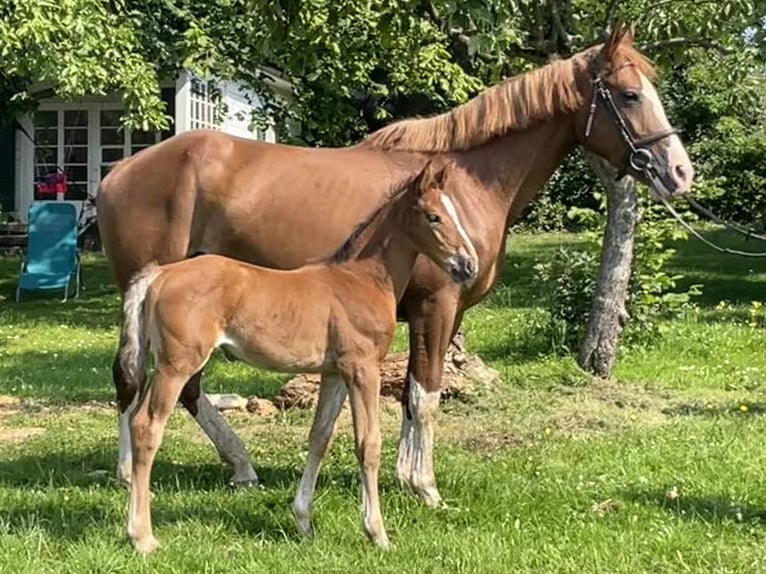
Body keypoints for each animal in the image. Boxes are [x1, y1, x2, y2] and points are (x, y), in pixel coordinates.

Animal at [120, 161, 476, 552]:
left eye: (455, 212)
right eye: (433, 216)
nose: (468, 265)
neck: (361, 278)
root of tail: (158, 275)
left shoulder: (335, 373)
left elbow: (320, 437)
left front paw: (304, 522)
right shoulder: (363, 368)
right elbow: (368, 444)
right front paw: (377, 533)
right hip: (176, 365)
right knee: (147, 426)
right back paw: (142, 537)